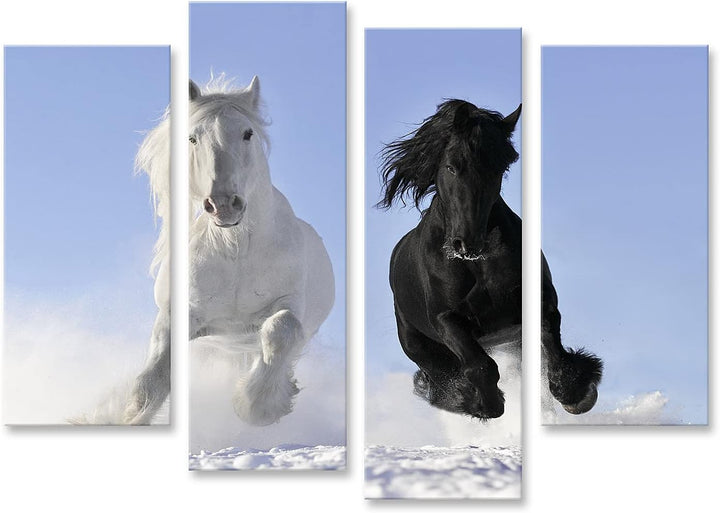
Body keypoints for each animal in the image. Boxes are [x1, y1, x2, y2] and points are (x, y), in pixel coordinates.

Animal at [184, 75, 335, 426]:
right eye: (193, 138)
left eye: (247, 133)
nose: (223, 203)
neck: (236, 249)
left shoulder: (289, 304)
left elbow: (281, 329)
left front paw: (255, 406)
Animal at [378, 99, 602, 419]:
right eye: (451, 166)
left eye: (499, 168)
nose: (468, 242)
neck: (478, 265)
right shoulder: (447, 319)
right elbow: (480, 367)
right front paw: (483, 403)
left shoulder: (540, 301)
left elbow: (554, 350)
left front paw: (577, 393)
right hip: (420, 345)